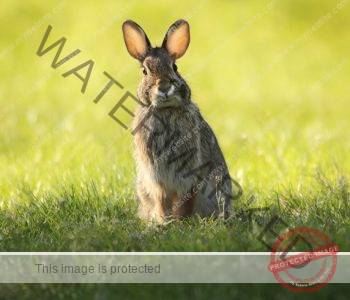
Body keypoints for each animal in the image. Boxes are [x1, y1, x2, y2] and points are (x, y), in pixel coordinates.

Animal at [121, 18, 241, 223]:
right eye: (145, 71)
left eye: (175, 67)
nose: (164, 86)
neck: (165, 110)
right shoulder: (156, 178)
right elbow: (161, 199)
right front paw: (163, 220)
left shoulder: (189, 176)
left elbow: (184, 199)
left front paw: (180, 220)